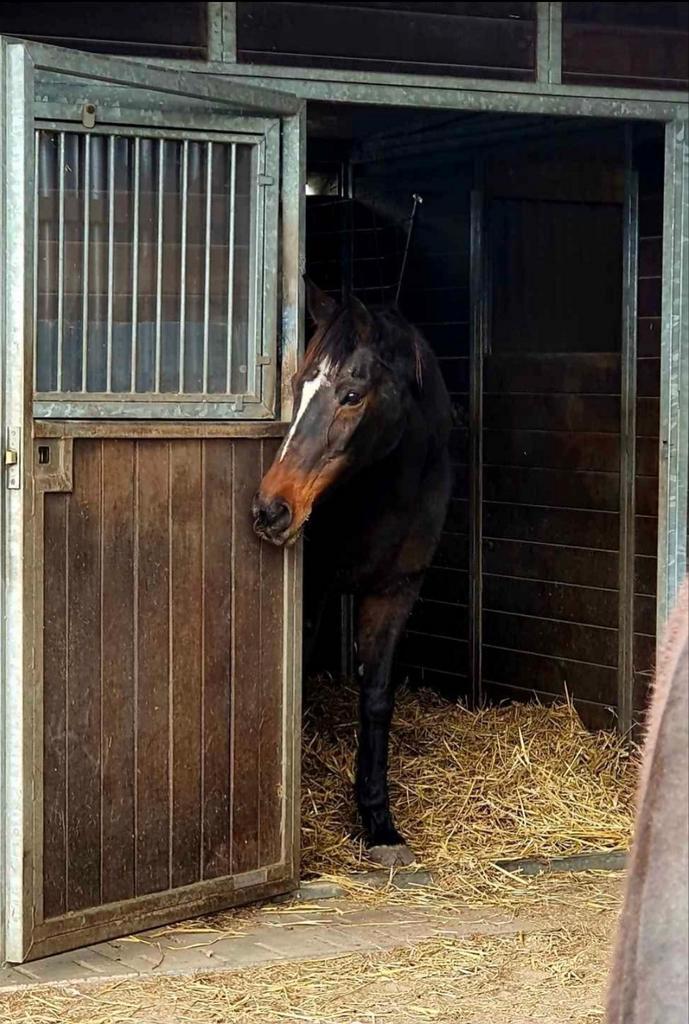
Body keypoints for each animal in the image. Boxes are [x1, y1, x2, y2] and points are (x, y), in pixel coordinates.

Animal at [252, 281, 453, 867]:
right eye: (298, 387)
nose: (271, 509)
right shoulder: (315, 588)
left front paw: (379, 824)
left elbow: (377, 700)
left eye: (351, 395)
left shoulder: (396, 591)